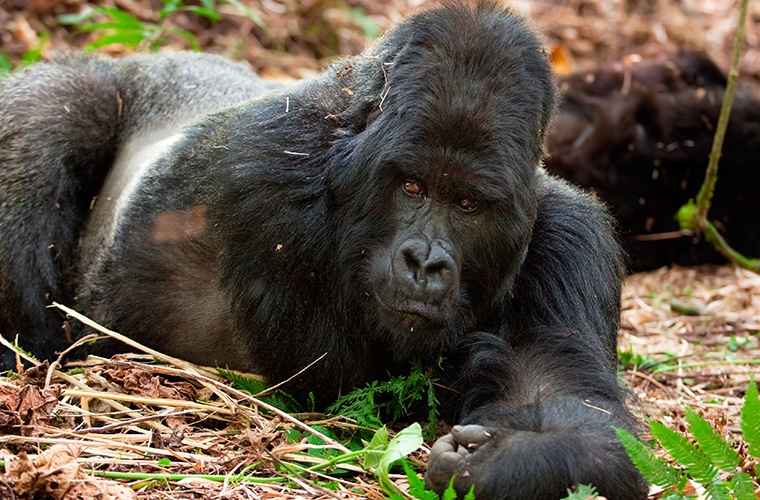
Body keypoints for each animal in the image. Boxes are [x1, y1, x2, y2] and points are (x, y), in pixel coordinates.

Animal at [0, 1, 648, 498]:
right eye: (412, 187)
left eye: (469, 205)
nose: (425, 263)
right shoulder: (263, 171)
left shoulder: (568, 241)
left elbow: (579, 419)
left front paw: (508, 460)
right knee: (58, 111)